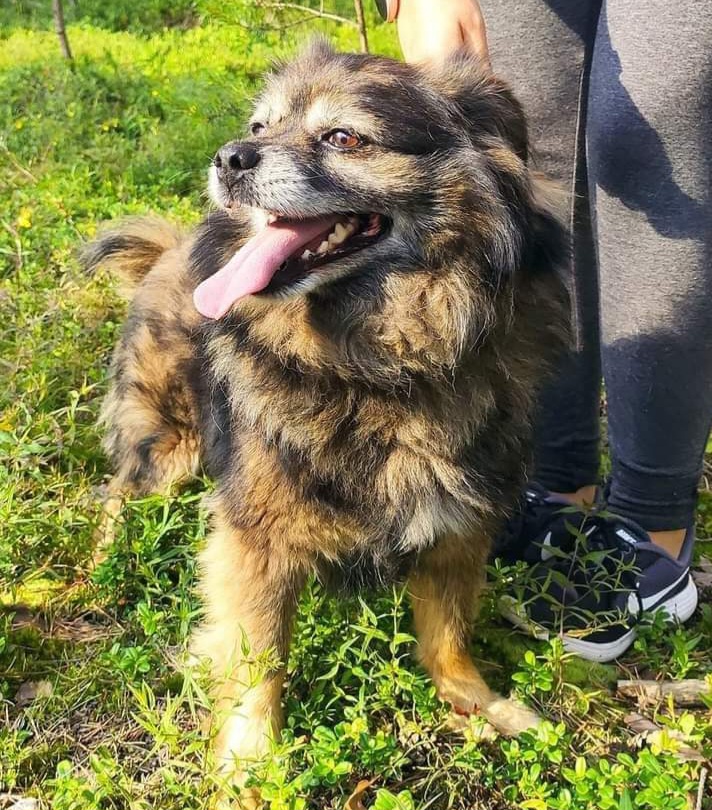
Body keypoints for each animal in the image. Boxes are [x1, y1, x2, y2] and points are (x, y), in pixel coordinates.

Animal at [84, 40, 569, 808]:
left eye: (343, 137)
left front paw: (478, 703)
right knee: (116, 494)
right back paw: (107, 564)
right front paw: (248, 765)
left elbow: (448, 633)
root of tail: (168, 250)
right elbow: (259, 663)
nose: (229, 157)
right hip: (169, 448)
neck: (379, 365)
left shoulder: (462, 521)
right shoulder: (255, 538)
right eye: (259, 126)